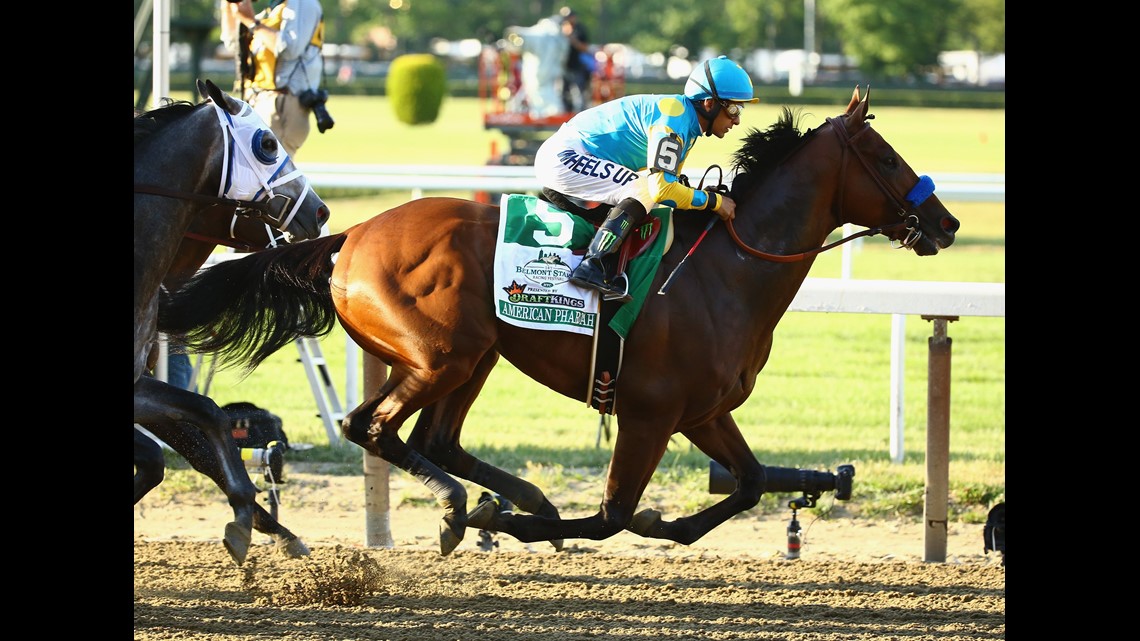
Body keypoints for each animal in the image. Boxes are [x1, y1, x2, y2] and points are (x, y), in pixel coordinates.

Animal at [163, 88, 962, 554]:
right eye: (886, 155)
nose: (946, 222)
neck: (727, 271)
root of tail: (351, 236)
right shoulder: (648, 412)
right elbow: (612, 512)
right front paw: (522, 526)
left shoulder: (702, 410)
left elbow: (751, 479)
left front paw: (669, 524)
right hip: (438, 355)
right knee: (374, 427)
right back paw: (466, 510)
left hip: (476, 354)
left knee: (435, 440)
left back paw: (509, 498)